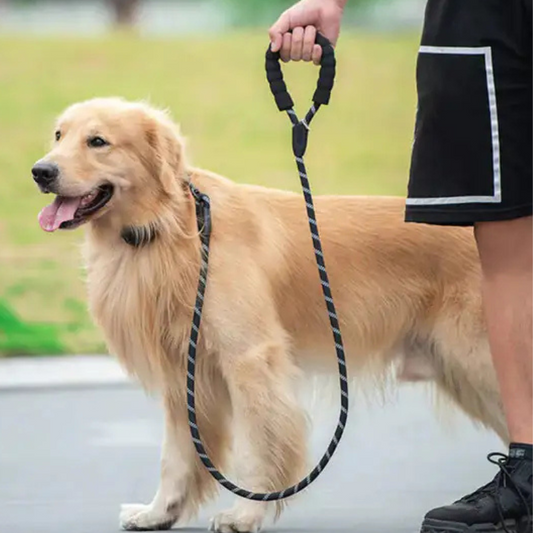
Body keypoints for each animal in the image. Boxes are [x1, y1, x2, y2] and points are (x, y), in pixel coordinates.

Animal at [32, 97, 502, 528]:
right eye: (58, 135)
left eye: (98, 141)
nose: (41, 171)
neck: (171, 228)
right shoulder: (184, 374)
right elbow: (177, 456)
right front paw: (159, 512)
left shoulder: (250, 360)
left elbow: (261, 446)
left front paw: (245, 514)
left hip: (479, 360)